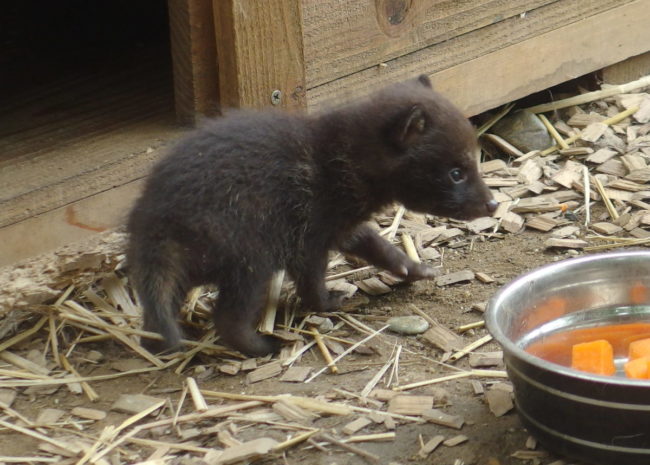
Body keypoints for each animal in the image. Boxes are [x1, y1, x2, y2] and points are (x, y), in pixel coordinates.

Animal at [126, 74, 494, 356]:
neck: (342, 157)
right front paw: (329, 303)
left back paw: (160, 342)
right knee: (229, 318)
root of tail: (157, 220)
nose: (491, 204)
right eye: (455, 173)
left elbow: (376, 245)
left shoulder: (341, 223)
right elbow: (312, 279)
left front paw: (414, 268)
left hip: (187, 266)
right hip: (249, 254)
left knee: (159, 309)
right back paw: (263, 346)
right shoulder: (310, 229)